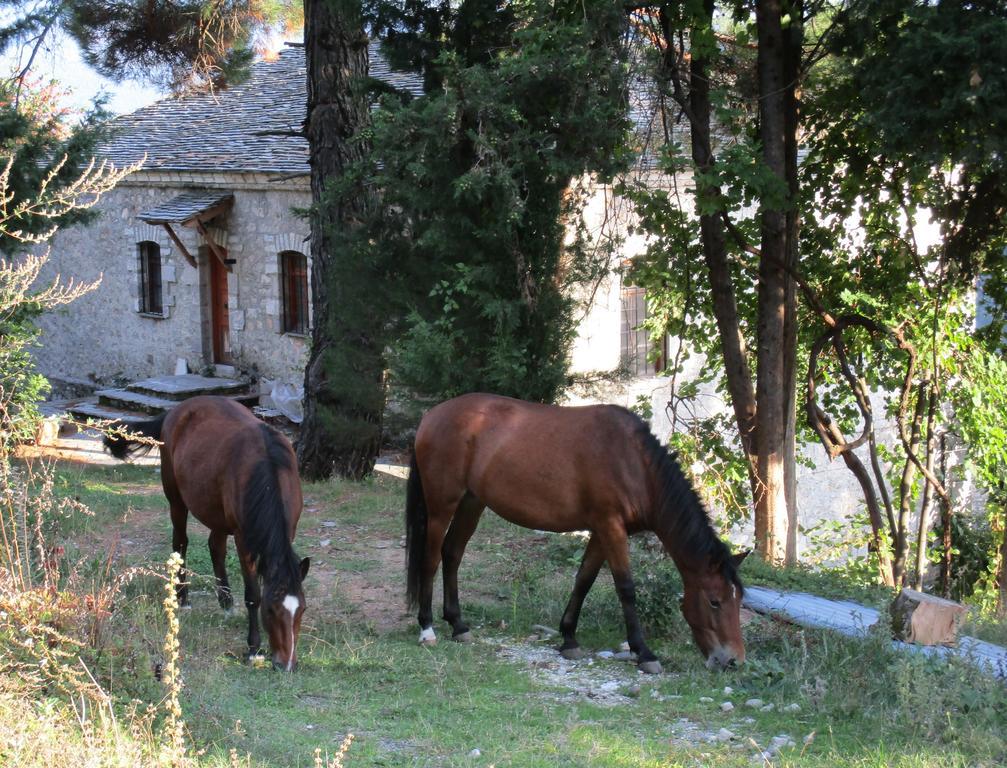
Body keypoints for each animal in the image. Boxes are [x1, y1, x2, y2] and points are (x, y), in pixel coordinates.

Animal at [104, 396, 310, 672]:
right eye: (271, 610)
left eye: (302, 610)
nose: (287, 664)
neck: (267, 470)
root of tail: (178, 410)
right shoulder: (245, 540)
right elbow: (253, 594)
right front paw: (253, 648)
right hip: (176, 499)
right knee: (180, 543)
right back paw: (183, 597)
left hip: (216, 512)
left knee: (215, 546)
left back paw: (225, 601)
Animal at [404, 396, 745, 672]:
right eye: (715, 602)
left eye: (739, 600)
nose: (733, 660)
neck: (635, 463)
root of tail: (431, 416)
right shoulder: (610, 527)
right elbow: (626, 588)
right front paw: (643, 652)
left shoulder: (601, 531)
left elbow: (584, 580)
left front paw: (569, 637)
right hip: (442, 506)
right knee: (431, 559)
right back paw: (427, 627)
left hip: (472, 503)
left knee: (452, 553)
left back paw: (458, 624)